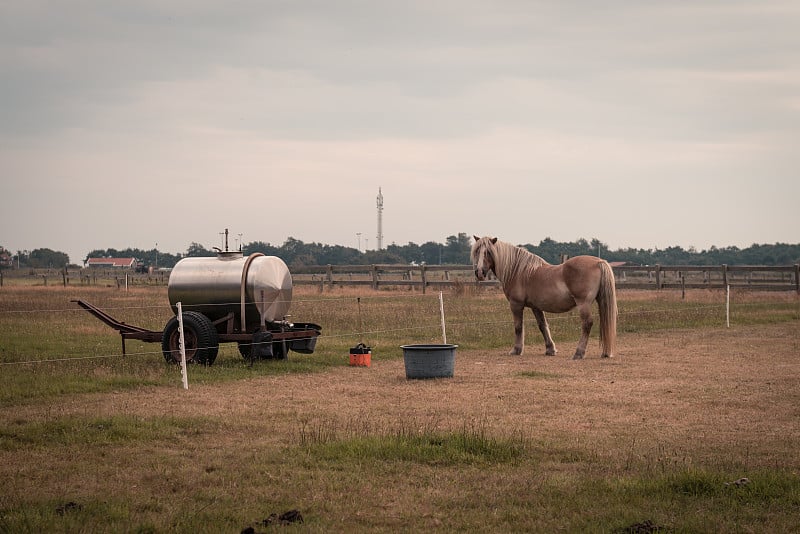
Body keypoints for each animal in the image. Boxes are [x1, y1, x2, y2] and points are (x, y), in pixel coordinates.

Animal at [468, 238, 620, 360]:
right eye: (477, 251)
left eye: (488, 252)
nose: (479, 272)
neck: (518, 271)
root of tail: (599, 261)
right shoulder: (536, 307)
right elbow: (543, 326)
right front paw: (550, 349)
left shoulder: (516, 305)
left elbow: (518, 327)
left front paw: (516, 350)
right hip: (600, 301)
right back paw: (605, 353)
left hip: (583, 304)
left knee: (587, 324)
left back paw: (579, 353)